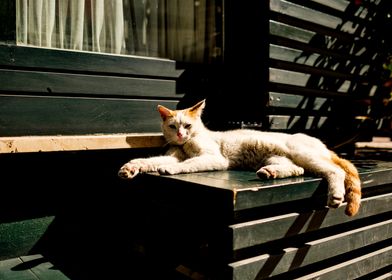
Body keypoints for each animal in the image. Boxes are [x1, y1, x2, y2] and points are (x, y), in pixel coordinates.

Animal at [118, 100, 362, 217]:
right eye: (172, 126)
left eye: (187, 125)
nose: (180, 135)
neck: (186, 145)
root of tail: (324, 145)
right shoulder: (172, 156)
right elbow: (149, 160)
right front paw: (130, 168)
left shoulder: (213, 158)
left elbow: (188, 163)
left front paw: (169, 170)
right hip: (278, 158)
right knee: (297, 170)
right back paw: (269, 173)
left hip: (302, 154)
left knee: (335, 171)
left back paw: (336, 196)